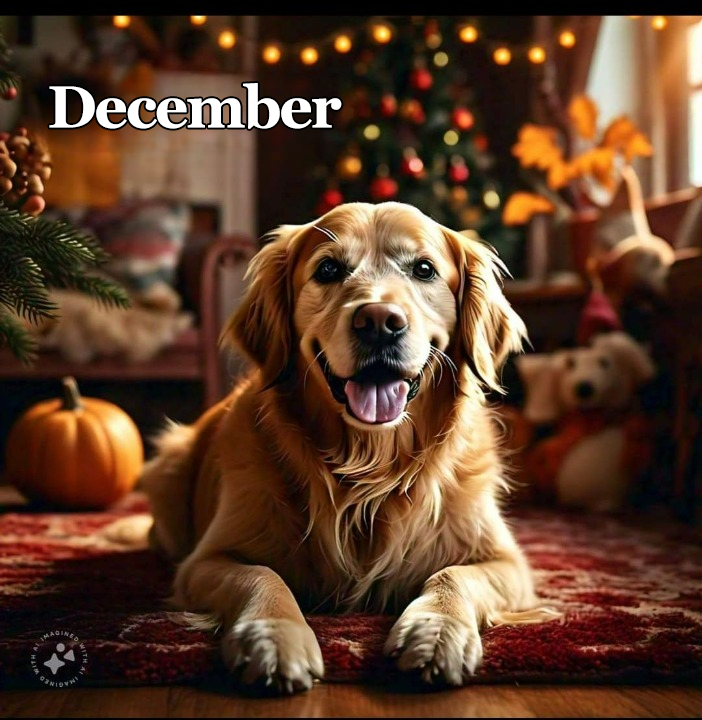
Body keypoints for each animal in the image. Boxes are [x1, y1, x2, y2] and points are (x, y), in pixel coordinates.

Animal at [139, 200, 560, 696]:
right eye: (328, 269)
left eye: (424, 269)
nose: (379, 322)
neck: (369, 469)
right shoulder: (206, 560)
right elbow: (262, 575)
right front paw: (274, 636)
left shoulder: (507, 562)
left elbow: (453, 574)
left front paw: (437, 631)